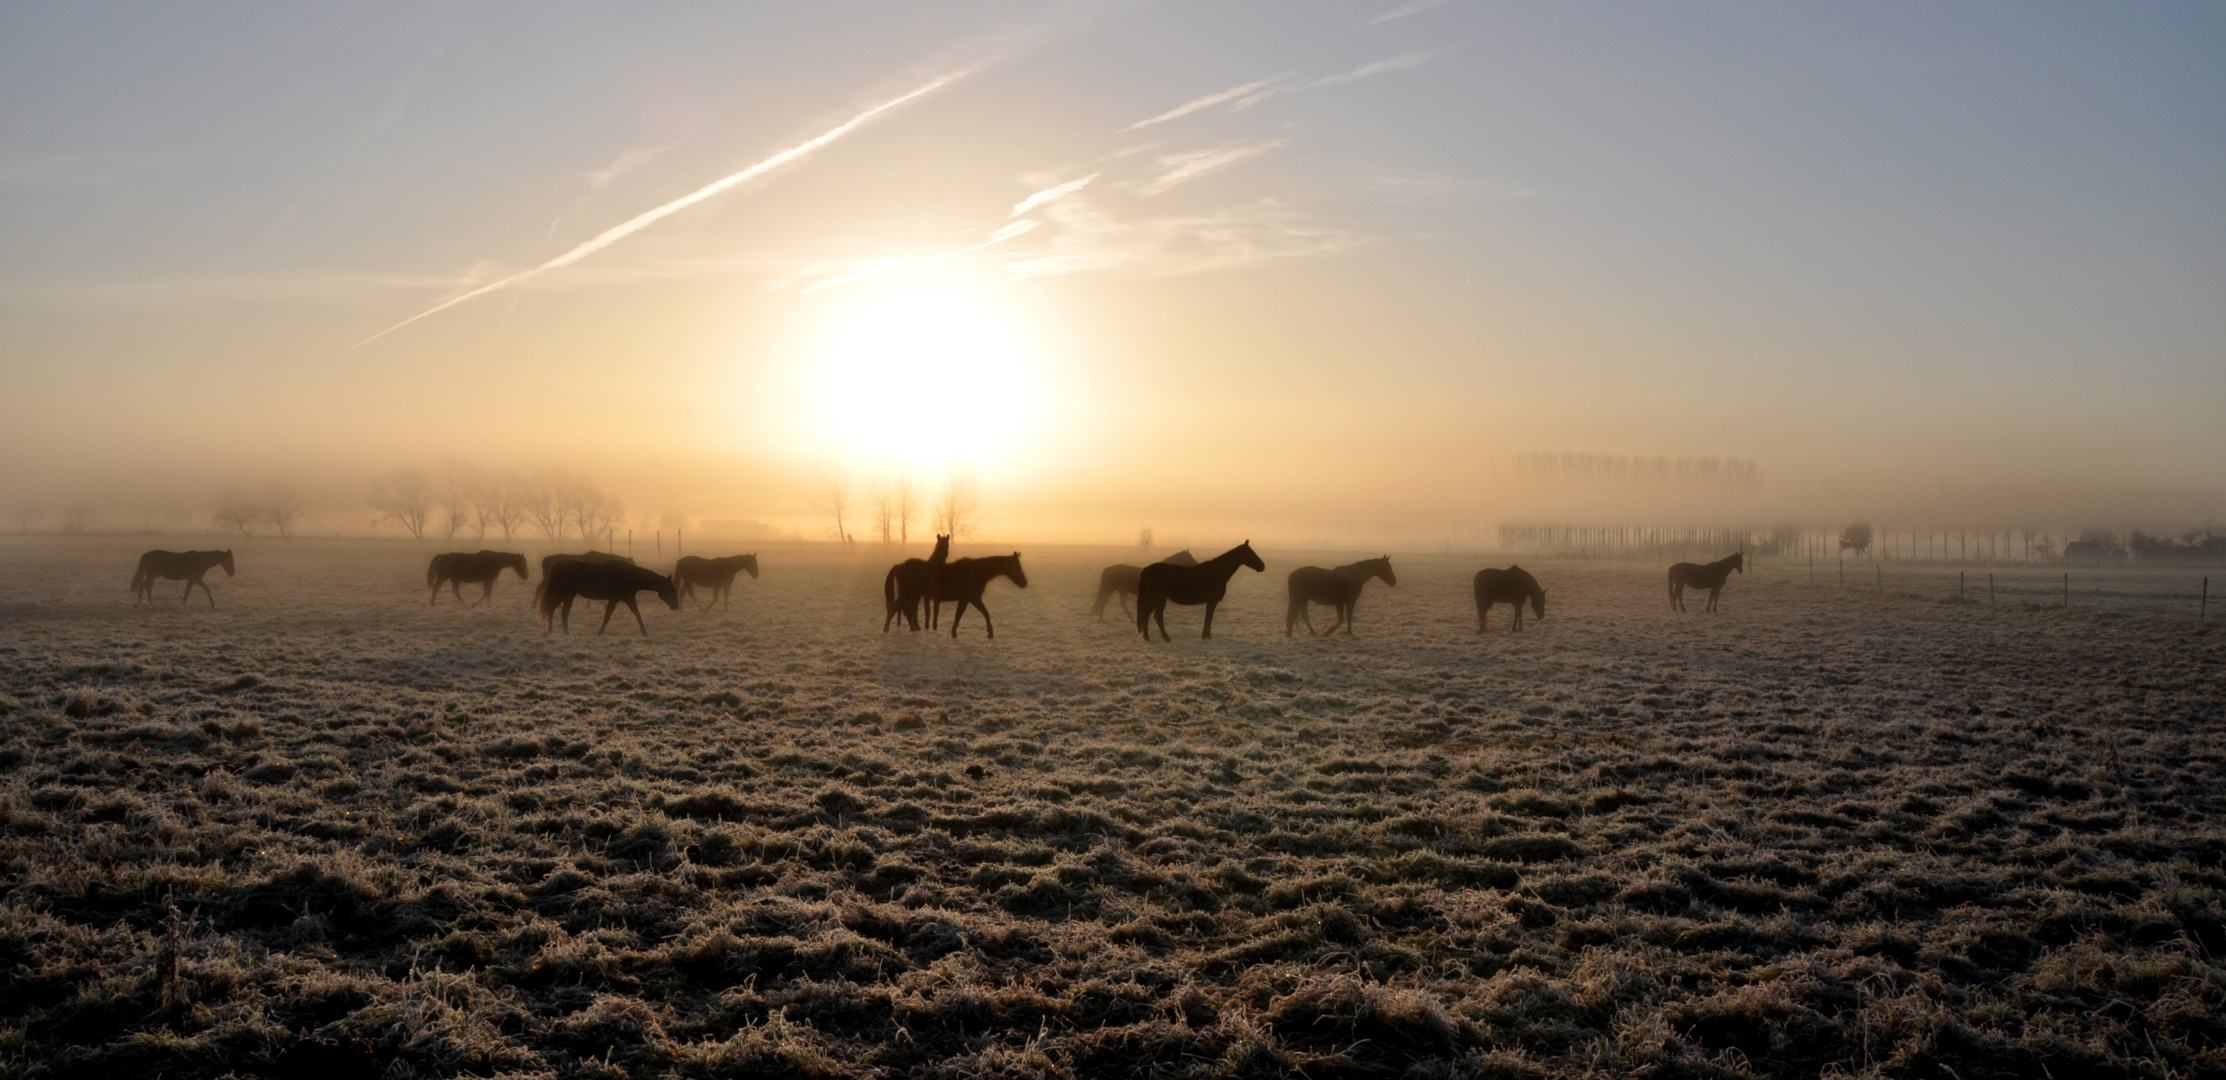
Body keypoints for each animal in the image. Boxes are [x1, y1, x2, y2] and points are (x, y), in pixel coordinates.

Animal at [538, 556, 676, 632]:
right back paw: (553, 630)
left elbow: (637, 614)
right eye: (671, 589)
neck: (630, 575)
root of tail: (556, 565)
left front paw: (644, 632)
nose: (676, 606)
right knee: (554, 609)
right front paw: (600, 632)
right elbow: (608, 616)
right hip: (563, 592)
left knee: (561, 611)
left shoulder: (627, 598)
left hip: (569, 594)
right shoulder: (617, 599)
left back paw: (562, 632)